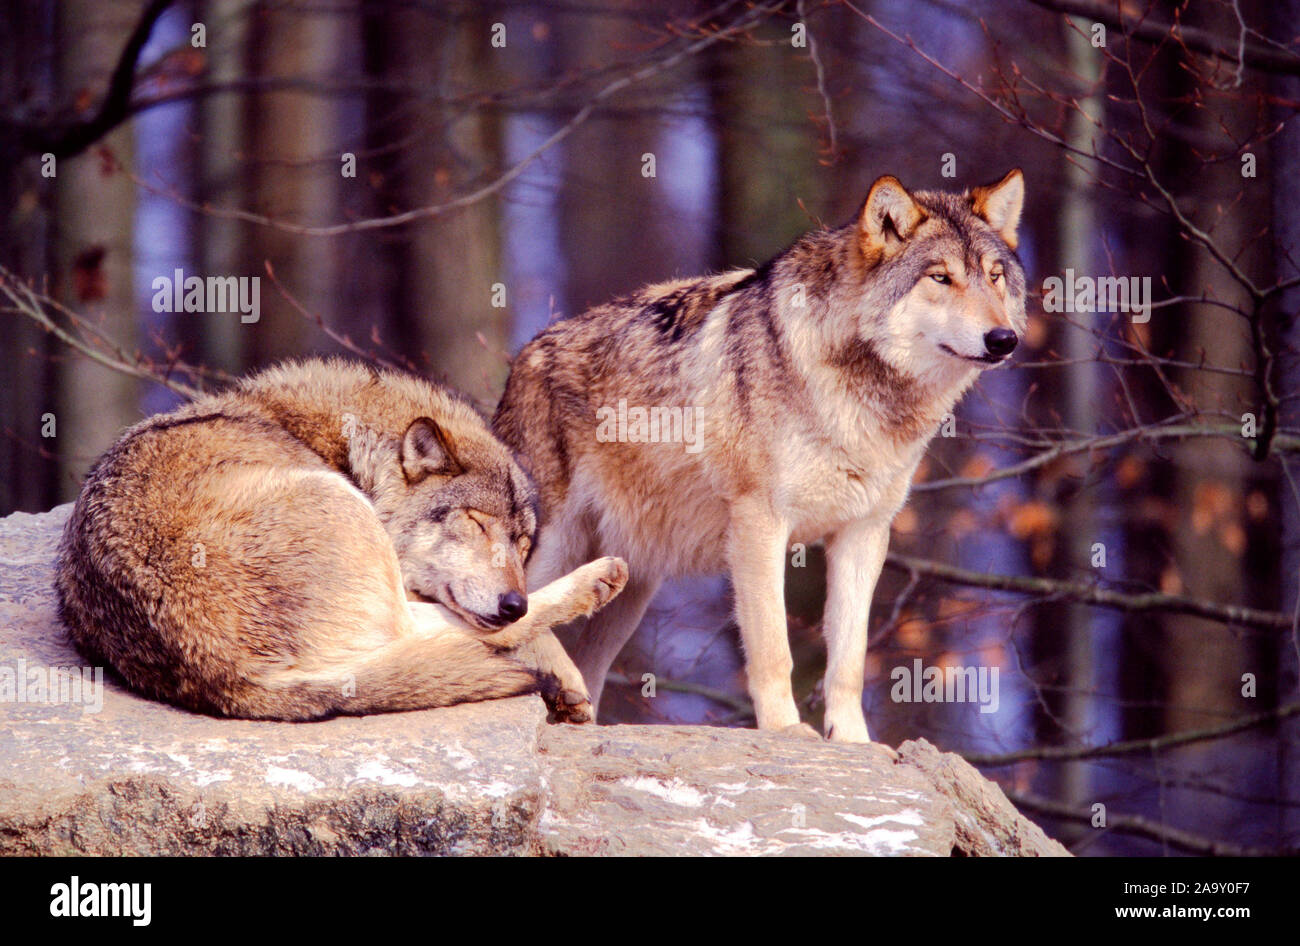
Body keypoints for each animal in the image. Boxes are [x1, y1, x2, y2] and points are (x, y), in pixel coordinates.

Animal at [53, 358, 631, 722]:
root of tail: (229, 678)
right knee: (433, 635)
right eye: (477, 523)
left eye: (522, 543)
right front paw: (564, 673)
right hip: (344, 511)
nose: (513, 601)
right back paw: (597, 583)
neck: (347, 446)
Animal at [493, 174, 1024, 743]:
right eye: (941, 277)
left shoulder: (863, 532)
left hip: (628, 587)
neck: (861, 395)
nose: (1004, 339)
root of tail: (522, 358)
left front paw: (854, 742)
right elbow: (773, 648)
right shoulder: (759, 522)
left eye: (994, 278)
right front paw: (787, 731)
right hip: (552, 548)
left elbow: (849, 659)